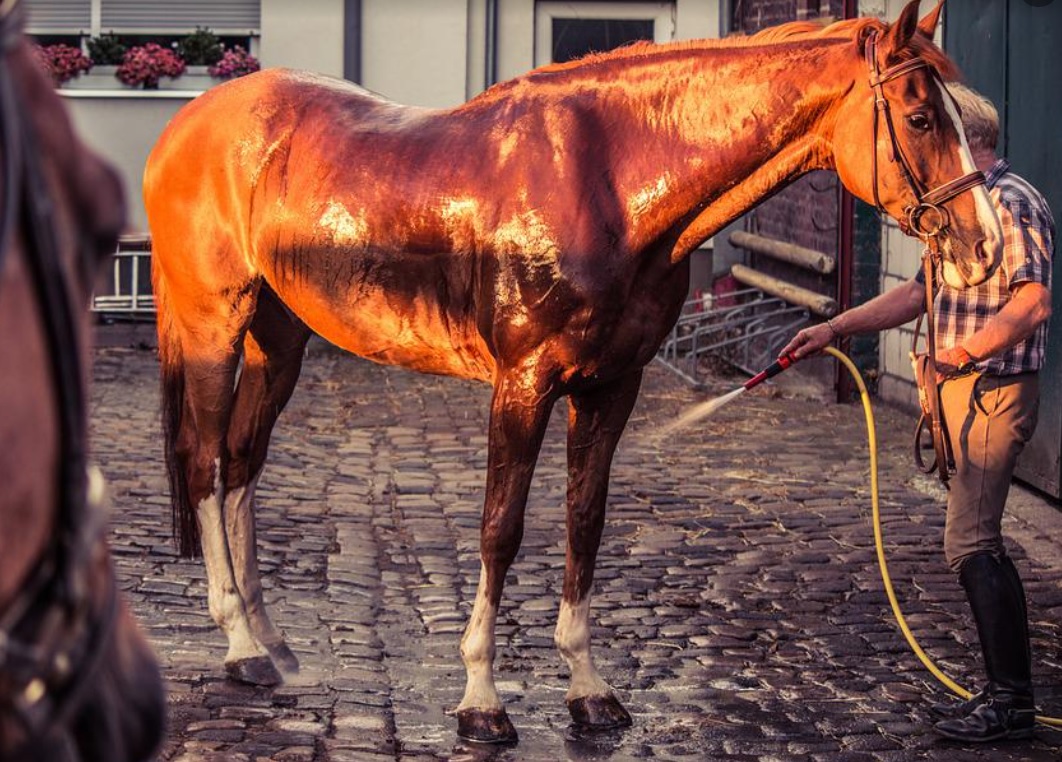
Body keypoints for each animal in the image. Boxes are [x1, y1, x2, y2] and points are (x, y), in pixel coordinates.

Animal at [144, 0, 1001, 743]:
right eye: (921, 117)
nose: (984, 246)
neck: (607, 184)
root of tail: (186, 125)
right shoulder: (523, 386)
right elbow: (501, 529)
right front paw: (481, 700)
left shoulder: (610, 386)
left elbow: (584, 523)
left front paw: (589, 693)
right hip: (214, 330)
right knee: (205, 463)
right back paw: (239, 644)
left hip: (277, 340)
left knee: (242, 462)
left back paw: (270, 640)